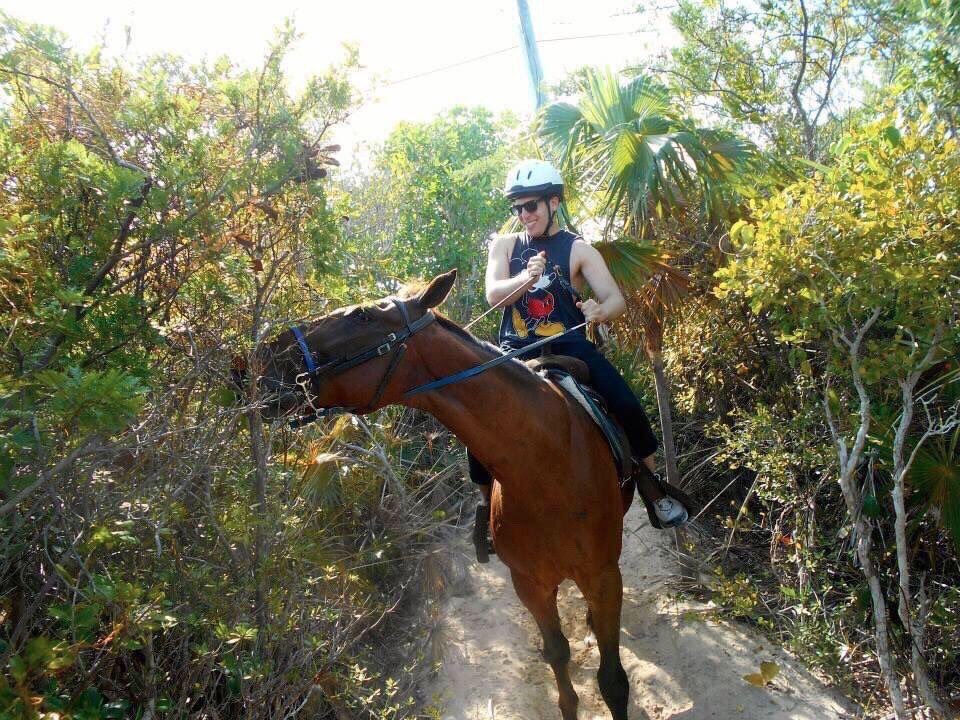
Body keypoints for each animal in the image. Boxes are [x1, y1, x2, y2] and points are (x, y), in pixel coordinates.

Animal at [253, 272, 636, 720]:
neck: (546, 462)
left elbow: (613, 682)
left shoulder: (604, 576)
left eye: (362, 315)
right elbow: (558, 658)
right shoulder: (530, 583)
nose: (260, 359)